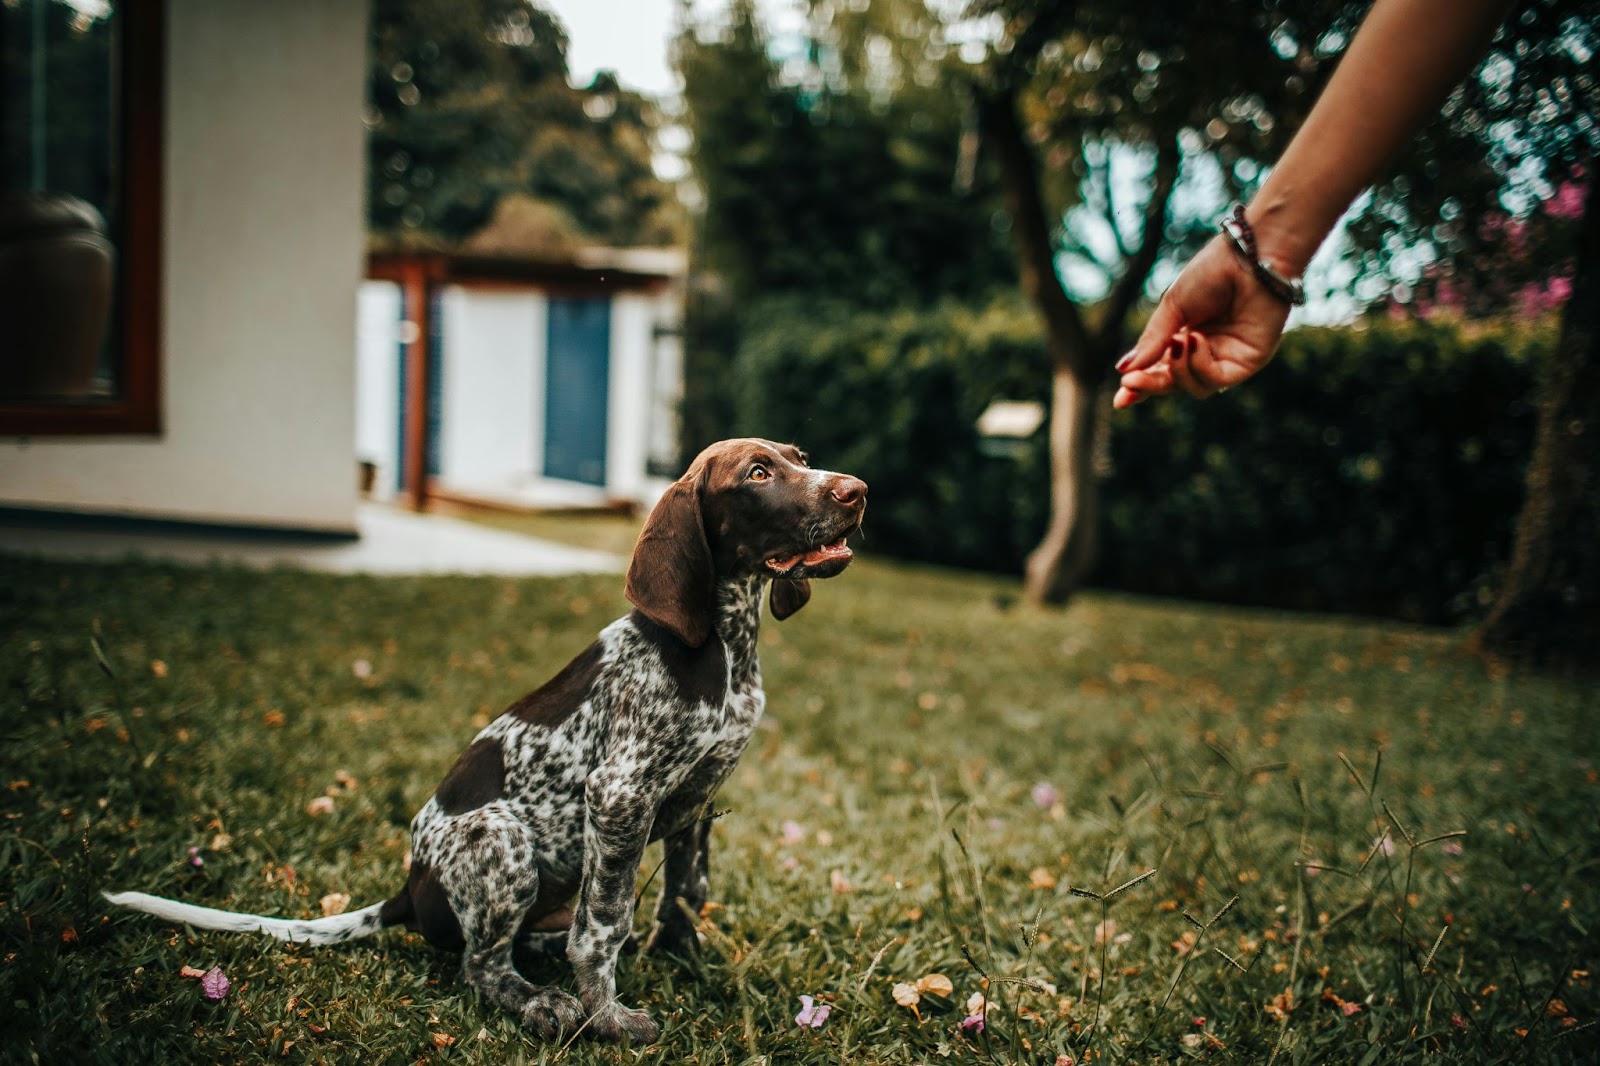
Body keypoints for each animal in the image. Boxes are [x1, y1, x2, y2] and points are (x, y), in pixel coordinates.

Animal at [106, 435, 870, 1043]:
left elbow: (686, 890)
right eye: (758, 473)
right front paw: (609, 1018)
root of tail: (409, 889)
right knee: (482, 963)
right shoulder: (619, 794)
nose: (856, 492)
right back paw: (538, 1001)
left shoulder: (699, 798)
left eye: (801, 458)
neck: (724, 646)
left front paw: (685, 961)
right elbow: (605, 926)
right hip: (501, 838)